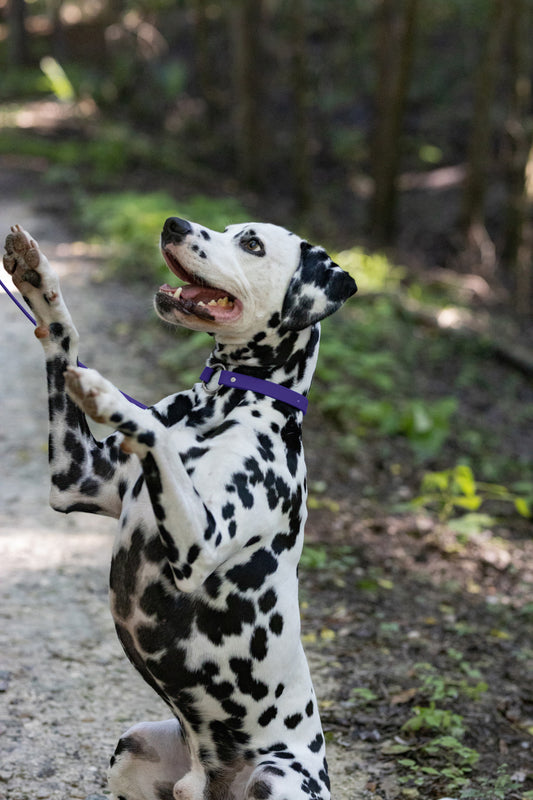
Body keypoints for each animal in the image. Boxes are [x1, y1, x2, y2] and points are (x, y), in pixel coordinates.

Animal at [3, 219, 358, 800]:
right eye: (229, 228)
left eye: (252, 243)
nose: (174, 223)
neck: (225, 401)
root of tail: (205, 782)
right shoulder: (75, 477)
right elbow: (61, 337)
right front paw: (38, 278)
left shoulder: (200, 544)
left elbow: (154, 435)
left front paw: (110, 397)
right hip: (131, 747)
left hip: (277, 778)